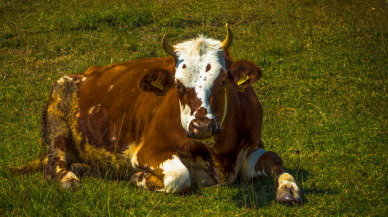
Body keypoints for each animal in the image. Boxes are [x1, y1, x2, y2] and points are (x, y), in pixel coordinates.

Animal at [12, 24, 302, 203]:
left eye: (222, 82)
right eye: (177, 85)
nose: (201, 126)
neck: (220, 157)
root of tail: (80, 74)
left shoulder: (252, 145)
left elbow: (275, 160)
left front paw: (288, 189)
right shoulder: (148, 150)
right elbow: (179, 177)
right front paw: (139, 178)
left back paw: (83, 167)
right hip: (57, 117)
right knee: (54, 163)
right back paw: (69, 177)